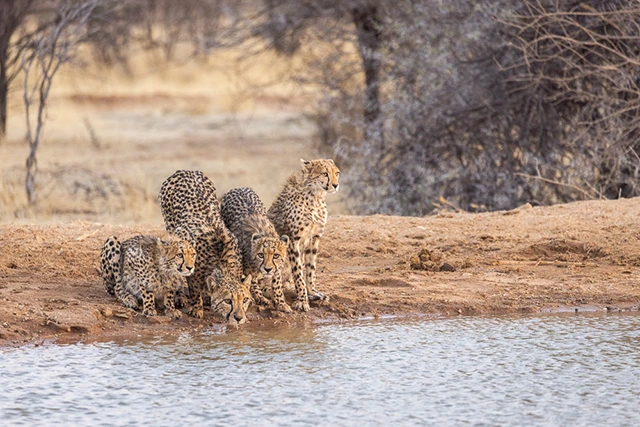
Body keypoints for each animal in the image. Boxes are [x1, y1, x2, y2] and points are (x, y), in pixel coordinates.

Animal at [158, 169, 249, 323]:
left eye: (245, 300)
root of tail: (184, 171)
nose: (239, 318)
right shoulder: (192, 272)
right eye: (228, 301)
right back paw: (180, 297)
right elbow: (194, 290)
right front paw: (196, 309)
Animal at [267, 158, 340, 312]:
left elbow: (311, 269)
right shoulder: (293, 240)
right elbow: (298, 272)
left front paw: (312, 292)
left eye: (337, 173)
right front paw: (302, 300)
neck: (315, 196)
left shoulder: (315, 237)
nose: (336, 185)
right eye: (324, 173)